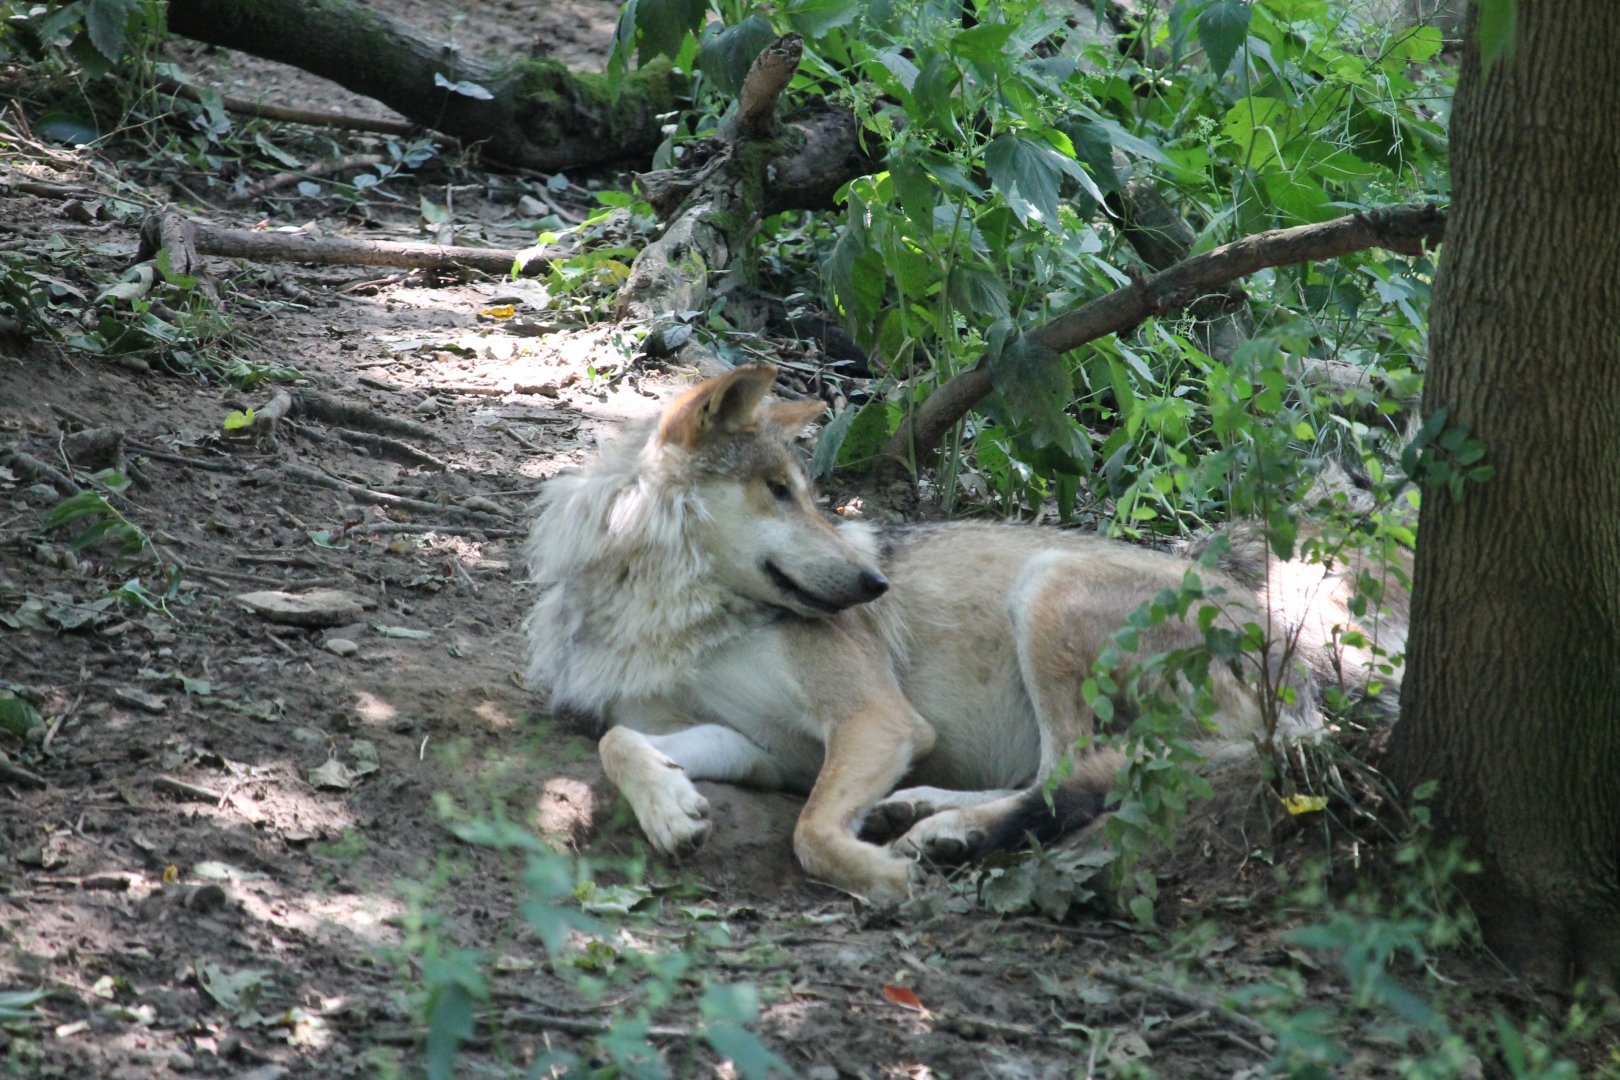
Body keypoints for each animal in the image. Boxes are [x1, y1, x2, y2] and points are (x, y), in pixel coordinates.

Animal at [523, 364, 1406, 905]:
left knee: (1076, 774)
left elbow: (810, 831)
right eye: (777, 490)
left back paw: (943, 833)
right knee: (1067, 773)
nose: (874, 585)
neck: (674, 614)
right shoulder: (765, 751)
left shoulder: (877, 720)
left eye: (808, 494)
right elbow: (622, 742)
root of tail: (1298, 676)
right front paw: (671, 811)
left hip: (1045, 586)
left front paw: (876, 877)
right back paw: (920, 813)